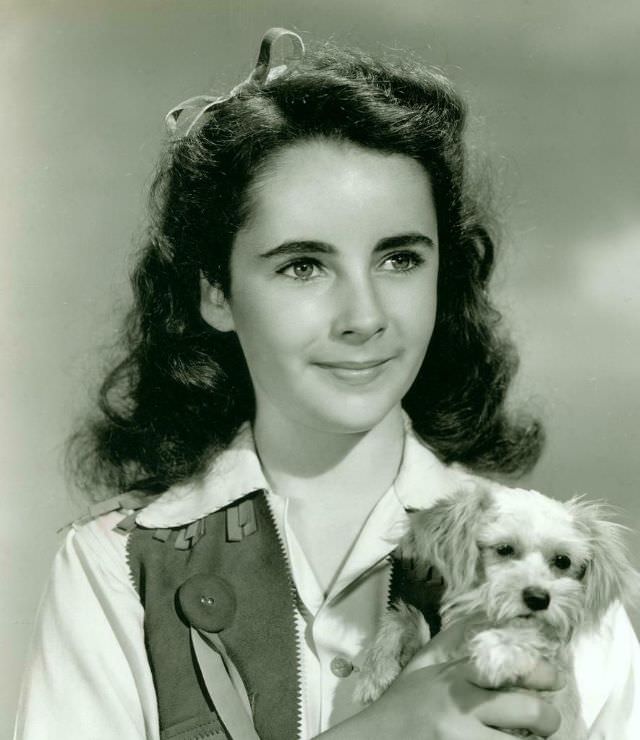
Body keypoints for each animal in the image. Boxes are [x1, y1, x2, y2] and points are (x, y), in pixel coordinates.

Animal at [356, 482, 636, 736]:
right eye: (504, 549)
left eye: (562, 561)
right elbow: (401, 617)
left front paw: (503, 647)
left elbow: (536, 636)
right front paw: (376, 668)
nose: (538, 598)